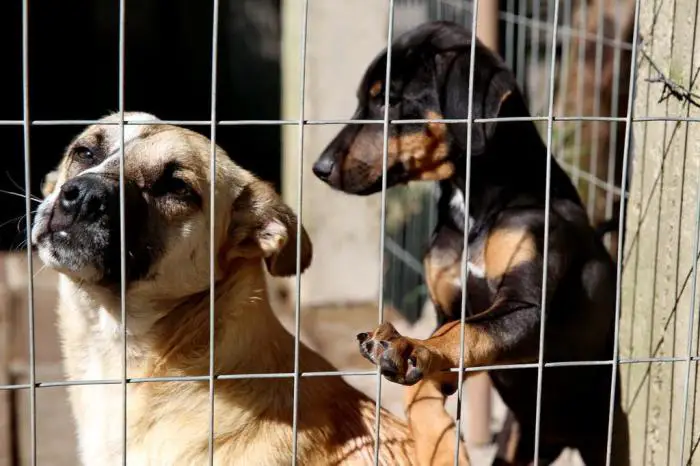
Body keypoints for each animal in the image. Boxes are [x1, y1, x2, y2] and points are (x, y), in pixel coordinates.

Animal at [314, 20, 632, 466]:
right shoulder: (450, 313)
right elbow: (427, 376)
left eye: (390, 101)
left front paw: (407, 346)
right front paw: (441, 445)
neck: (475, 210)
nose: (321, 168)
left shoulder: (528, 307)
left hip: (607, 435)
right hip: (518, 441)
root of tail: (562, 438)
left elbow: (465, 331)